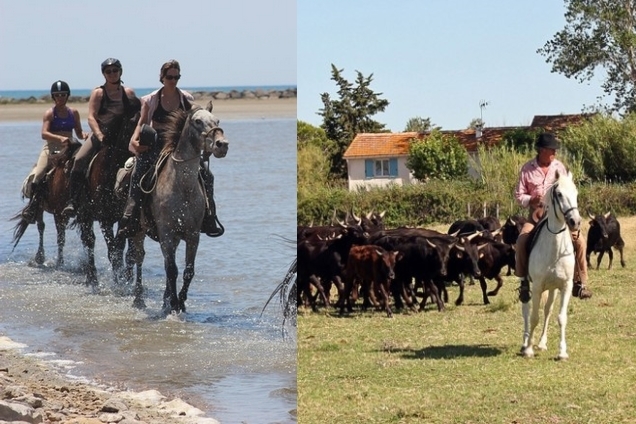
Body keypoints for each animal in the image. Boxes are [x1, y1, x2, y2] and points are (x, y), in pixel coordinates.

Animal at [126, 106, 229, 314]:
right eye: (197, 121)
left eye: (217, 121)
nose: (222, 145)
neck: (182, 188)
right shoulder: (166, 233)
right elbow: (172, 269)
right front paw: (173, 304)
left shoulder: (192, 235)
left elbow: (188, 270)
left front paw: (179, 302)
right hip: (138, 231)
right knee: (139, 258)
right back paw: (139, 299)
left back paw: (165, 299)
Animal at [520, 171, 580, 360]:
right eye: (559, 194)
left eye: (576, 193)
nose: (575, 222)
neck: (555, 248)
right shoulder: (537, 286)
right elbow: (534, 317)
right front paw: (529, 350)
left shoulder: (566, 286)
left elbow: (561, 317)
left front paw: (562, 352)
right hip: (528, 286)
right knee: (526, 309)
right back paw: (525, 342)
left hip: (553, 288)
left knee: (547, 310)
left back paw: (542, 343)